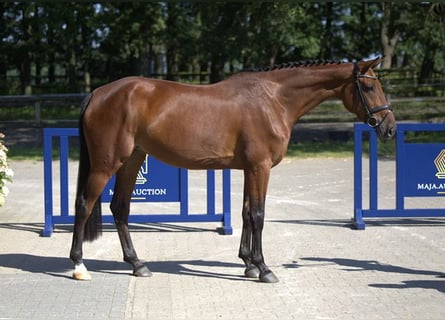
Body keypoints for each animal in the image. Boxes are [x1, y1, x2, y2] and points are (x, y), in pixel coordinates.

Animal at [69, 57, 396, 282]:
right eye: (369, 86)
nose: (390, 128)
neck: (273, 100)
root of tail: (98, 93)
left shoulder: (250, 168)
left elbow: (246, 213)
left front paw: (248, 263)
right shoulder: (260, 167)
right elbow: (258, 215)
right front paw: (264, 268)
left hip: (132, 160)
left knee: (120, 208)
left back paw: (137, 264)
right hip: (107, 164)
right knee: (85, 205)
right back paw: (79, 266)